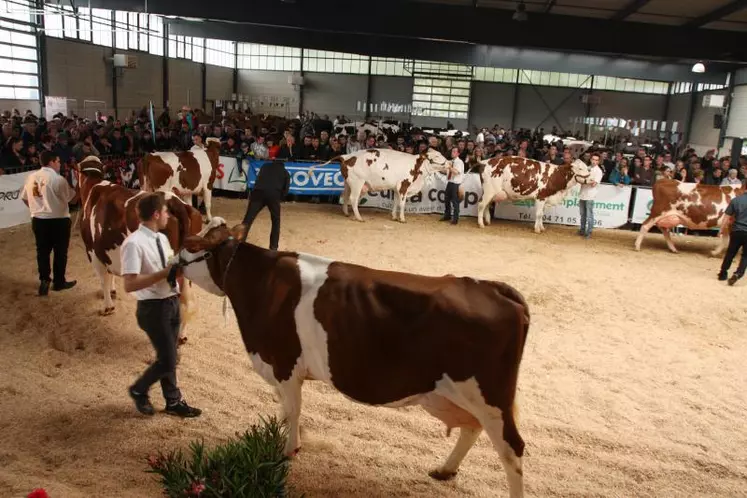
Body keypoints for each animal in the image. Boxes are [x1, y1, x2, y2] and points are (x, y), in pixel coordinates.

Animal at [75, 158, 202, 338]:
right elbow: (109, 275)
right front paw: (113, 292)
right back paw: (182, 336)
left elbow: (103, 280)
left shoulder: (92, 252)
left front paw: (108, 307)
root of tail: (174, 201)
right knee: (187, 302)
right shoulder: (106, 250)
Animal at [180, 219, 532, 498]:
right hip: (463, 395)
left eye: (191, 246)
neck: (260, 283)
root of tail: (494, 288)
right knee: (473, 428)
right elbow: (284, 409)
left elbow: (292, 411)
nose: (175, 262)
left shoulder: (284, 363)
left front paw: (287, 450)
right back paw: (445, 470)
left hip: (489, 396)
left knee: (511, 449)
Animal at [312, 149, 448, 223]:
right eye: (436, 156)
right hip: (357, 182)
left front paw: (394, 217)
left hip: (348, 183)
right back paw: (359, 217)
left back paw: (346, 213)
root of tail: (347, 156)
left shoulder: (397, 188)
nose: (449, 162)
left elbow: (395, 202)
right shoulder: (403, 185)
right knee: (353, 199)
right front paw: (402, 219)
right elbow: (402, 204)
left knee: (344, 196)